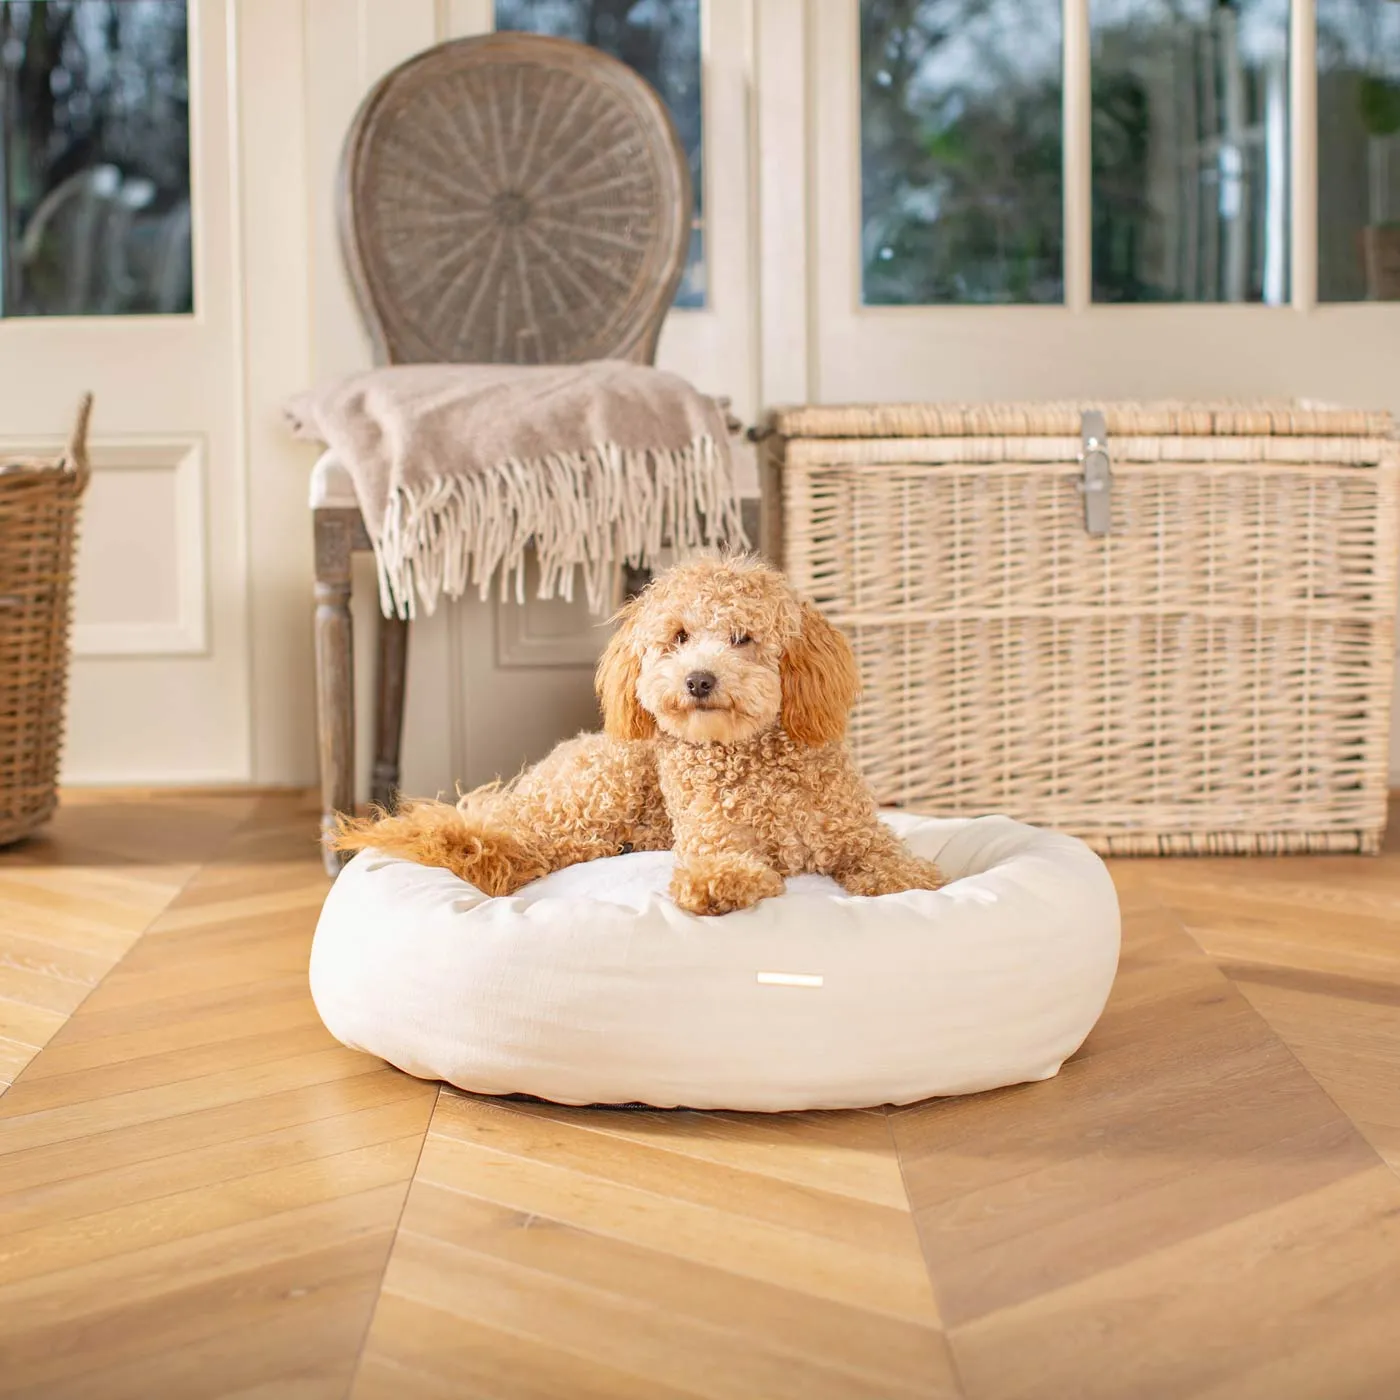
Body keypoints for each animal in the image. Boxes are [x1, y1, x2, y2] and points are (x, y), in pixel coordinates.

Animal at [329, 551, 946, 912]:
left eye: (742, 637)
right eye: (678, 636)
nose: (698, 679)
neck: (752, 756)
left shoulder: (858, 836)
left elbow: (891, 863)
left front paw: (913, 879)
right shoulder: (714, 836)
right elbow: (724, 863)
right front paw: (716, 886)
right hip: (601, 789)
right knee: (511, 843)